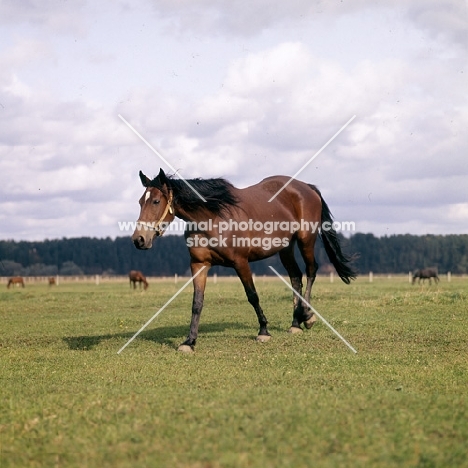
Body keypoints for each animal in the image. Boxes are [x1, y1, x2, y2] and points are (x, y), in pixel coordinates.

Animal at [130, 168, 356, 352]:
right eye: (140, 202)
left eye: (156, 201)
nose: (139, 239)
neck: (212, 218)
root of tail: (307, 187)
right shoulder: (199, 265)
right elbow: (197, 303)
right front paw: (189, 342)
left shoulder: (241, 263)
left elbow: (252, 296)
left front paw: (263, 331)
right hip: (286, 248)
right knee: (295, 277)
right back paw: (295, 323)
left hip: (305, 240)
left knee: (311, 271)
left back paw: (307, 317)